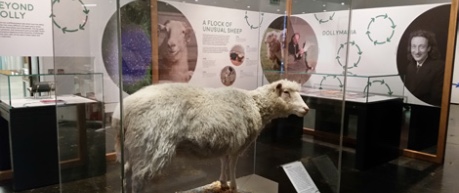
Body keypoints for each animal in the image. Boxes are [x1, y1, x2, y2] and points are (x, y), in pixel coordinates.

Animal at [113, 79, 310, 192]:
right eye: (286, 92)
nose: (306, 109)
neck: (255, 104)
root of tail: (122, 111)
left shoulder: (227, 142)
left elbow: (223, 162)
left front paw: (222, 183)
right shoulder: (238, 145)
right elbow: (232, 166)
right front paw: (233, 186)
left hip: (135, 148)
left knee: (126, 173)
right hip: (151, 146)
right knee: (138, 179)